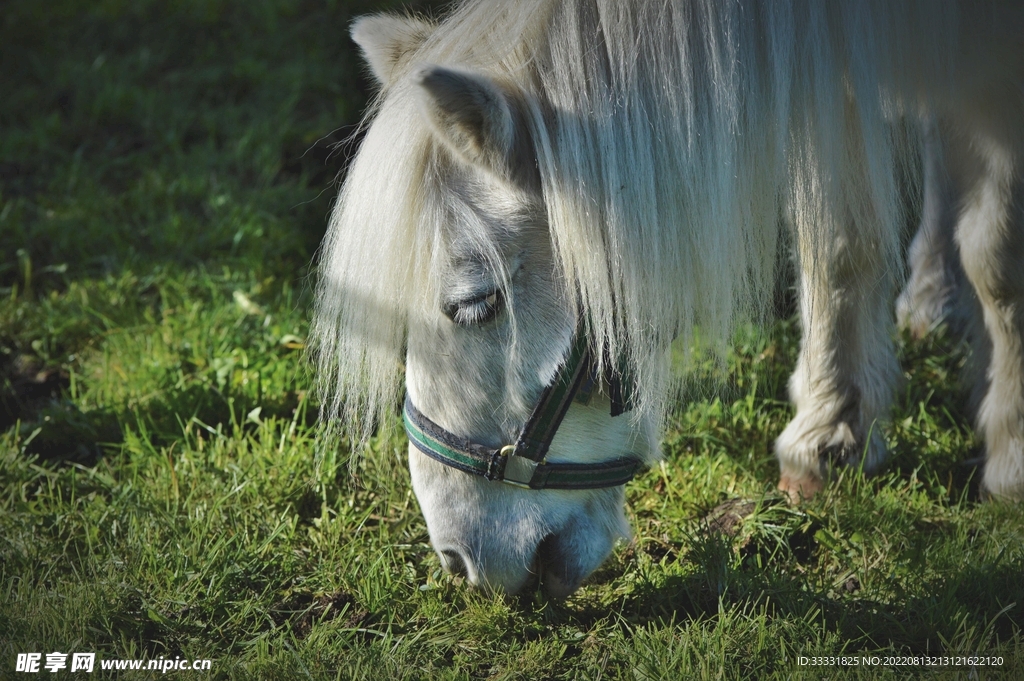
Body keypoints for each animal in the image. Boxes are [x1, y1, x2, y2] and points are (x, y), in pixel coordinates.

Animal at [312, 0, 1024, 597]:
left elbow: (998, 261)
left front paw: (1011, 459)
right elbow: (837, 238)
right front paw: (831, 430)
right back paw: (933, 293)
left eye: (474, 303)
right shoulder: (832, 59)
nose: (459, 561)